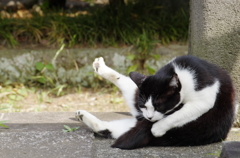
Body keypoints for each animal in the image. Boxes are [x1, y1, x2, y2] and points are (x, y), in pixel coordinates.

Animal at [75, 55, 238, 149]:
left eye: (159, 105)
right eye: (143, 106)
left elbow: (178, 115)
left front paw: (157, 128)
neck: (180, 72)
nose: (149, 117)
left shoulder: (204, 99)